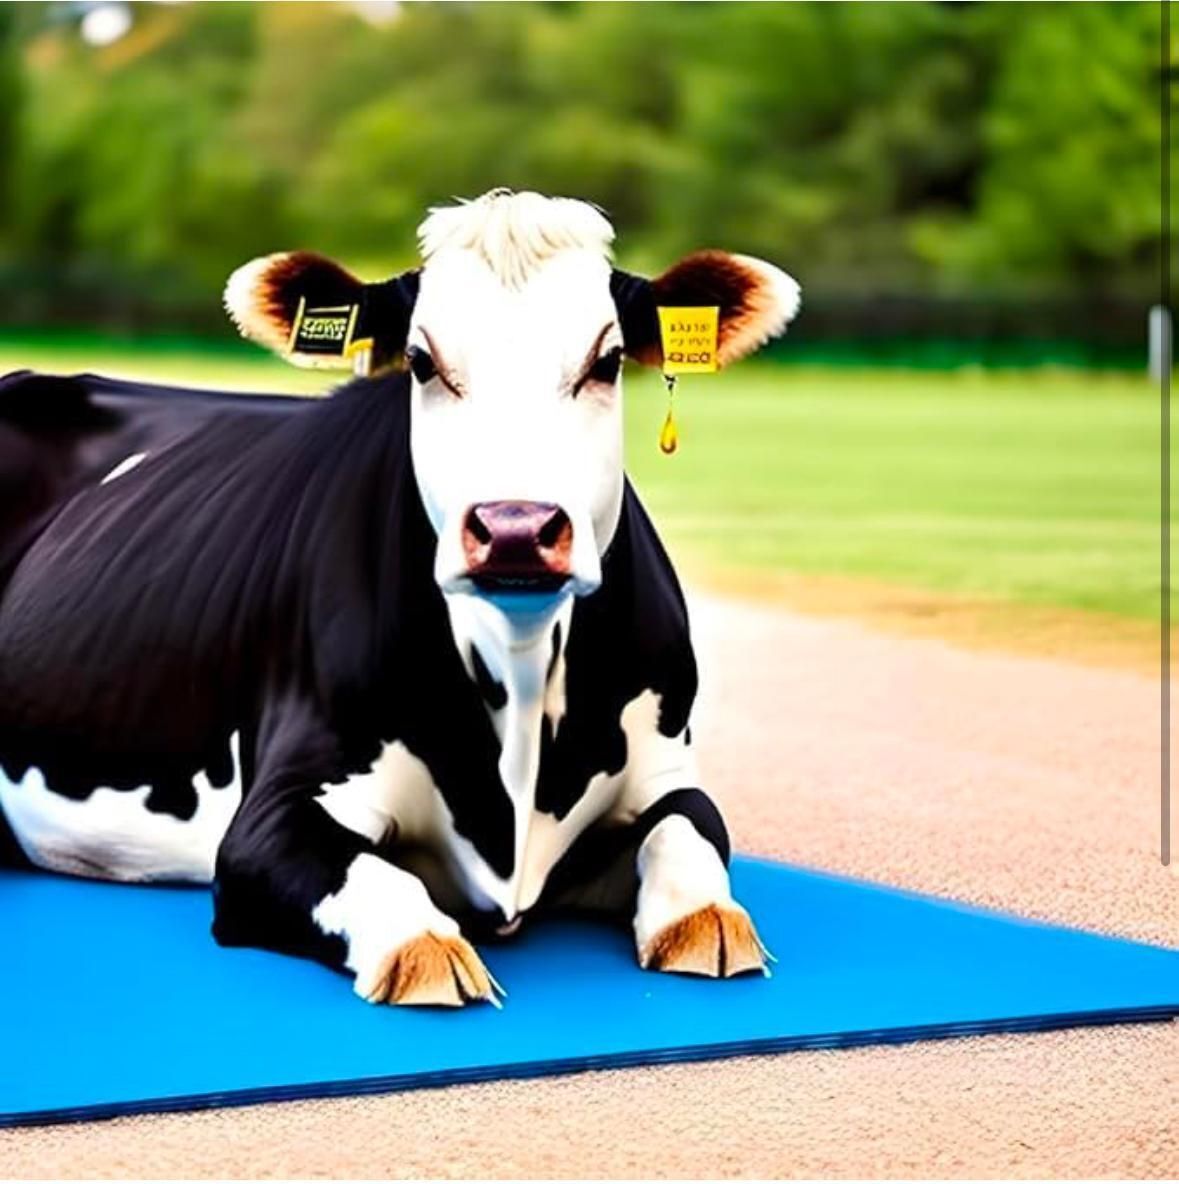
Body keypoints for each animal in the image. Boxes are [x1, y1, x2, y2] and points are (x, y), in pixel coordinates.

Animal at [0, 190, 800, 1007]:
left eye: (605, 361)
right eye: (420, 362)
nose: (515, 528)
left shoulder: (666, 768)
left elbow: (694, 839)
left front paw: (709, 924)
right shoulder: (272, 817)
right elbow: (393, 901)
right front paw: (428, 952)